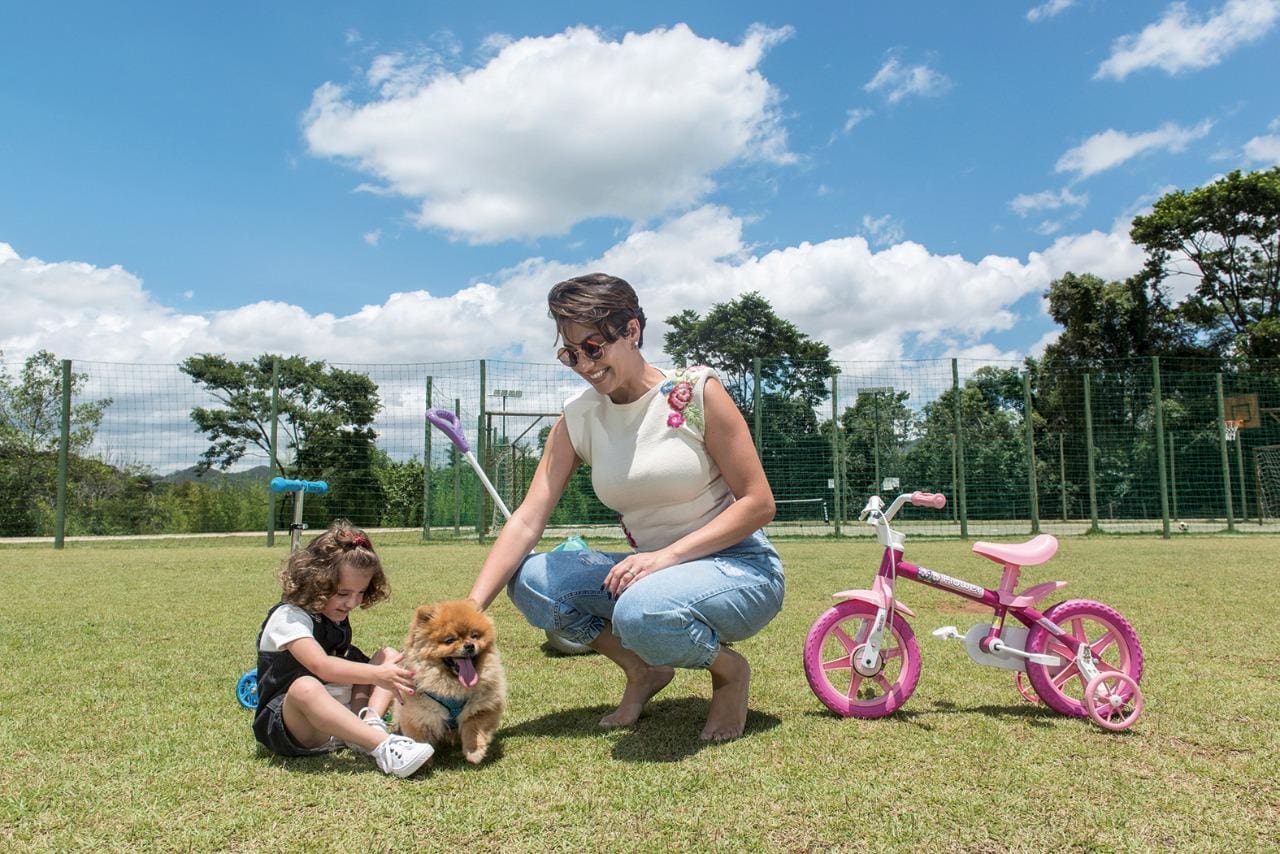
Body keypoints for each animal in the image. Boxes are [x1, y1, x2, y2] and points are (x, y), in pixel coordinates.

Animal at [394, 599, 504, 763]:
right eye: (449, 640)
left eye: (474, 636)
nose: (469, 645)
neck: (452, 688)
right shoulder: (419, 715)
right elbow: (421, 738)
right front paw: (423, 759)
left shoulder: (482, 706)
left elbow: (473, 728)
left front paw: (474, 751)